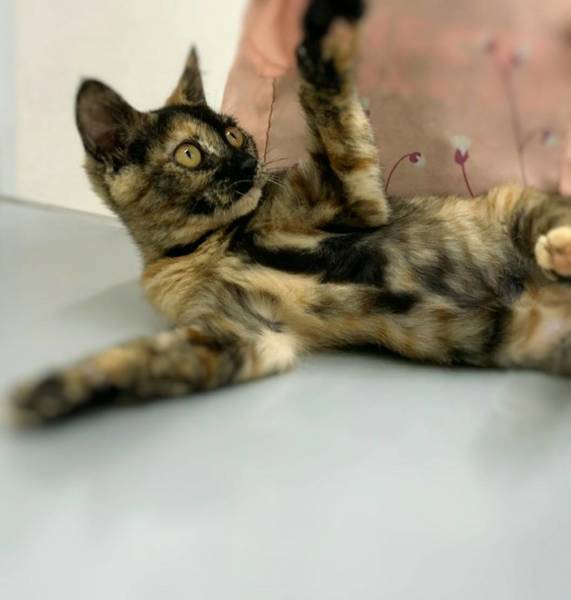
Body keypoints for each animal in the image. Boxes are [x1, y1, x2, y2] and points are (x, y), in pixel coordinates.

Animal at [10, 0, 571, 425]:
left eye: (234, 132)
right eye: (190, 154)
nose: (247, 161)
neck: (207, 246)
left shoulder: (352, 196)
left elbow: (329, 108)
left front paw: (323, 31)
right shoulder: (245, 333)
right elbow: (152, 361)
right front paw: (61, 388)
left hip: (518, 206)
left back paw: (558, 251)